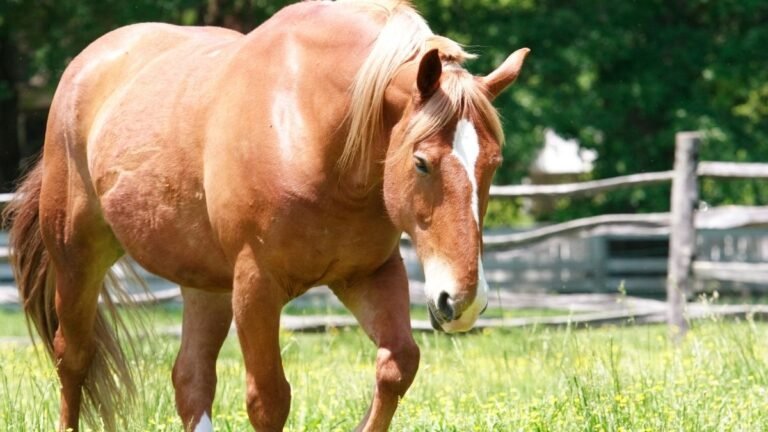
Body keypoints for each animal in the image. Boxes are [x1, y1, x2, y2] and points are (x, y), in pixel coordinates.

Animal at [2, 1, 528, 430]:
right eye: (421, 162)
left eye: (493, 162)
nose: (462, 301)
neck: (309, 127)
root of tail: (86, 65)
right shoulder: (256, 285)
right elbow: (269, 400)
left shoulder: (369, 273)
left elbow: (397, 365)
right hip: (77, 259)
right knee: (74, 361)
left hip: (205, 284)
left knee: (191, 379)